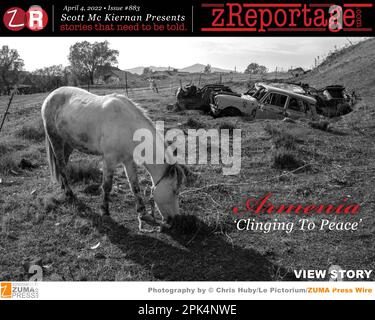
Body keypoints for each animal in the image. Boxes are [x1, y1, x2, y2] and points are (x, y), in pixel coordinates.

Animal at [41, 86, 187, 231]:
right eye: (175, 191)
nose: (175, 220)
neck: (127, 126)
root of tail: (50, 96)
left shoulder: (128, 160)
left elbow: (135, 186)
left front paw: (142, 212)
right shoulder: (109, 160)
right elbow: (107, 186)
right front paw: (105, 211)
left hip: (68, 144)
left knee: (63, 165)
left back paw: (63, 186)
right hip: (56, 140)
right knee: (61, 166)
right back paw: (69, 193)